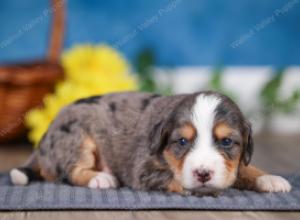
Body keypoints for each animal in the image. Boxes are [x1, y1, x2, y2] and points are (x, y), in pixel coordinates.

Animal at [11, 91, 290, 196]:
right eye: (181, 141)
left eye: (227, 141)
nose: (203, 174)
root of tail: (47, 133)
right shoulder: (143, 170)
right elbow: (173, 178)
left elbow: (246, 168)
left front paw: (270, 179)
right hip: (77, 138)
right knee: (70, 171)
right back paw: (101, 178)